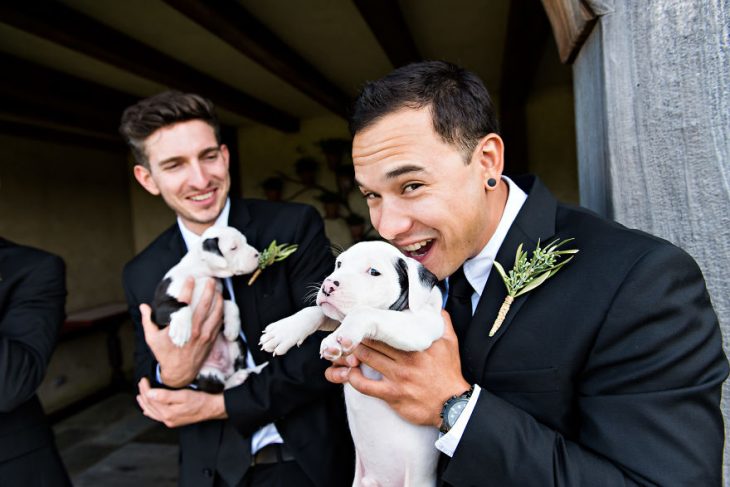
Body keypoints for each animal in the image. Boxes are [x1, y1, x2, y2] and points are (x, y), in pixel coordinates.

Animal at [151, 227, 262, 394]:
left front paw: (232, 328)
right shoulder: (159, 308)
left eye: (245, 241)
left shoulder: (220, 295)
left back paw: (239, 375)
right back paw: (237, 377)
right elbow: (182, 306)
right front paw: (181, 332)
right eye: (233, 248)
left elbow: (232, 305)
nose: (257, 254)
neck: (199, 273)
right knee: (216, 388)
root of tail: (225, 369)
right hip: (205, 373)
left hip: (238, 345)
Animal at [260, 241, 444, 487]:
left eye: (373, 272)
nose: (328, 285)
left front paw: (338, 337)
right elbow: (316, 310)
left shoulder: (421, 325)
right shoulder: (332, 313)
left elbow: (363, 311)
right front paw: (284, 331)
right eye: (339, 264)